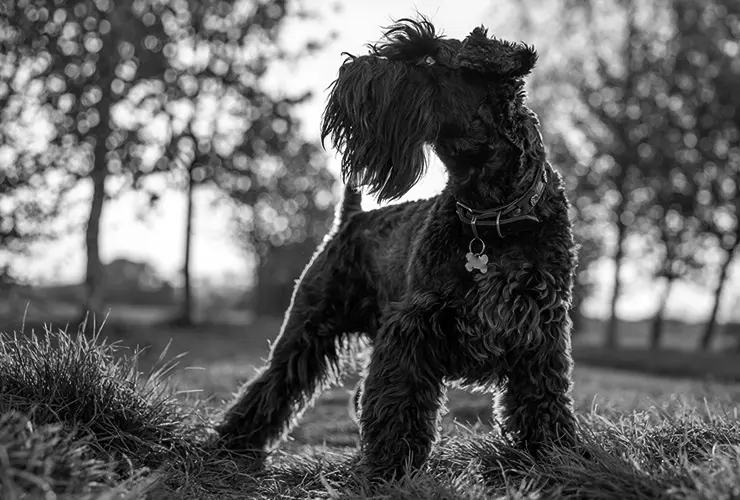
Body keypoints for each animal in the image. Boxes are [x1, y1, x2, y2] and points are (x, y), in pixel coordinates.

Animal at [217, 17, 580, 482]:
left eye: (426, 58)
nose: (347, 73)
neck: (493, 216)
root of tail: (350, 219)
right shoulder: (411, 328)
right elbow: (400, 401)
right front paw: (390, 466)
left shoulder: (541, 332)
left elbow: (543, 399)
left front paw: (553, 454)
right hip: (307, 326)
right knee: (274, 382)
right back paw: (231, 444)